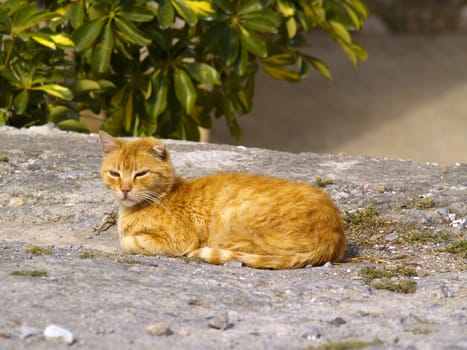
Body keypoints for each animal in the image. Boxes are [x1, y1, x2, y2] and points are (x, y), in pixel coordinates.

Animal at [98, 130, 348, 270]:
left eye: (141, 174)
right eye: (115, 174)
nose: (125, 189)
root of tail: (333, 233)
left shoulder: (178, 241)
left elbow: (128, 241)